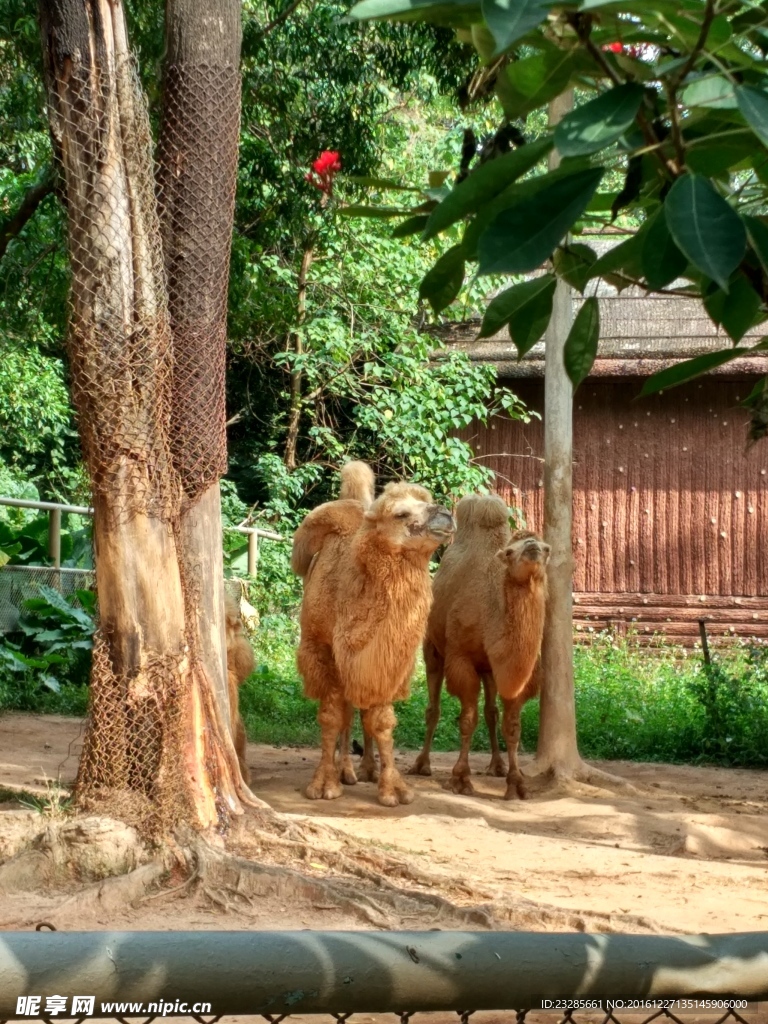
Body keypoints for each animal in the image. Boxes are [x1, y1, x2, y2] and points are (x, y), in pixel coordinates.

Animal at [290, 464, 454, 806]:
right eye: (401, 514)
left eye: (426, 502)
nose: (445, 514)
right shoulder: (322, 650)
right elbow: (330, 716)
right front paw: (322, 785)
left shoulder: (386, 663)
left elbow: (381, 720)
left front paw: (394, 789)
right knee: (346, 712)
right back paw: (345, 771)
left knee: (358, 710)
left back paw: (363, 770)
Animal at [405, 493, 548, 798]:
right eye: (510, 551)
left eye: (546, 548)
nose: (532, 548)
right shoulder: (461, 660)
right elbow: (467, 719)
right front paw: (460, 778)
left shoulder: (515, 671)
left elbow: (512, 725)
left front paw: (516, 783)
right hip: (432, 648)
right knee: (433, 708)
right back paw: (421, 764)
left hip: (488, 670)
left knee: (491, 712)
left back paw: (497, 766)